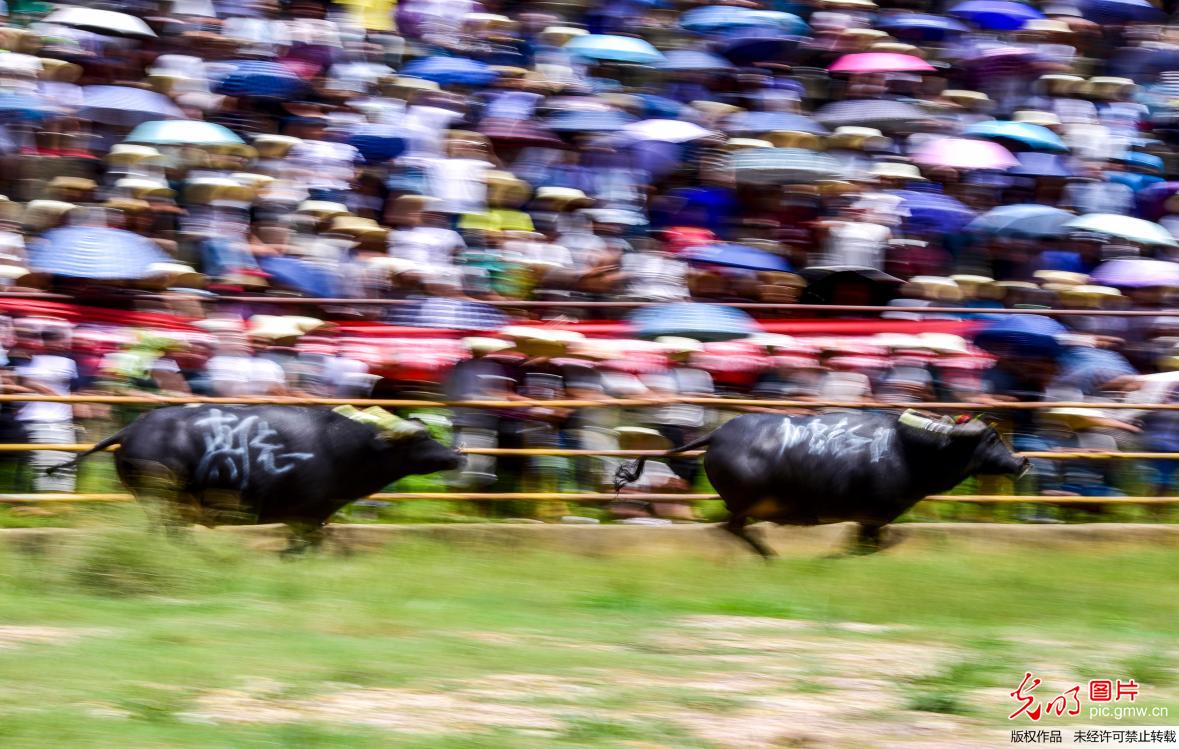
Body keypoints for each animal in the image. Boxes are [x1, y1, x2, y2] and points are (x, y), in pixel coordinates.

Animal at [55, 403, 462, 552]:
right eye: (422, 438)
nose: (455, 454)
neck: (345, 448)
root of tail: (130, 429)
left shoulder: (312, 520)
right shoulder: (306, 517)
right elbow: (301, 549)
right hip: (165, 503)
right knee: (170, 533)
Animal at [613, 410, 1028, 556]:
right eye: (992, 438)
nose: (1022, 461)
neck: (905, 450)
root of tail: (716, 436)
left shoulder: (870, 522)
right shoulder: (873, 518)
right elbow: (874, 544)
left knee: (732, 527)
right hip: (748, 503)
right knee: (733, 527)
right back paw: (769, 553)